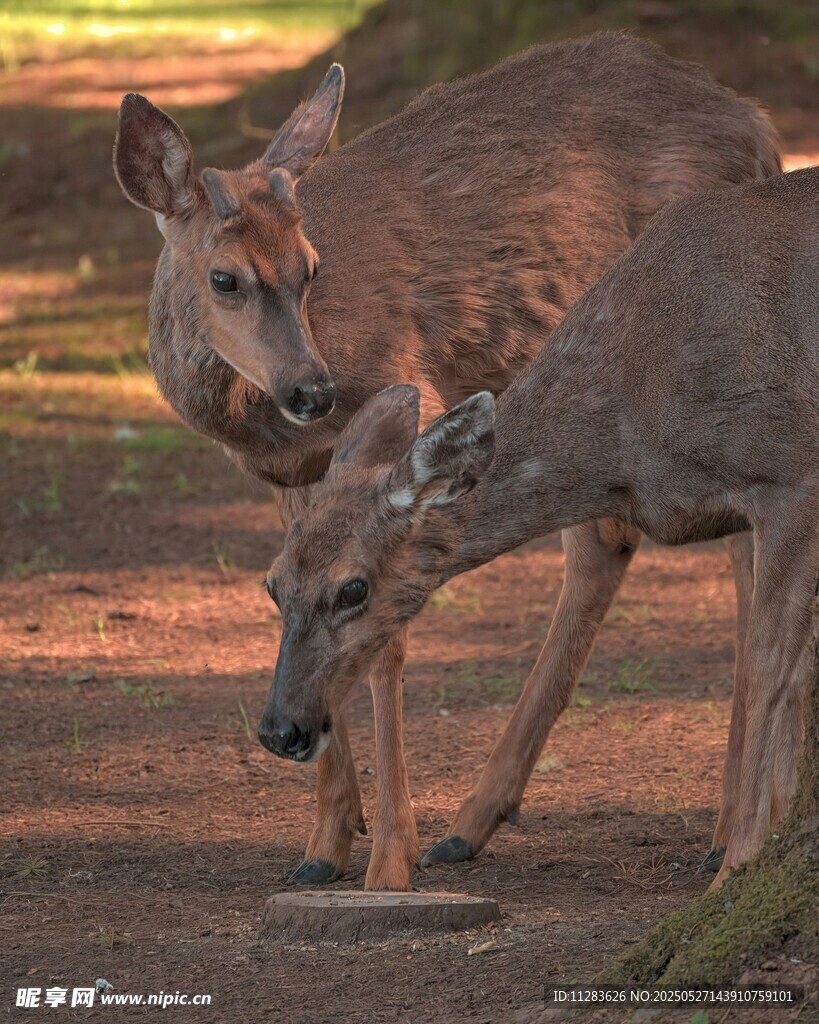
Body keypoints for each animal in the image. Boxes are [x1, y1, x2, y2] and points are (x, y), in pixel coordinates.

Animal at [260, 165, 819, 891]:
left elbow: (767, 669)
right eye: (273, 584)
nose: (280, 728)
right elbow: (788, 667)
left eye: (352, 587)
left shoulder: (789, 471)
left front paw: (738, 866)